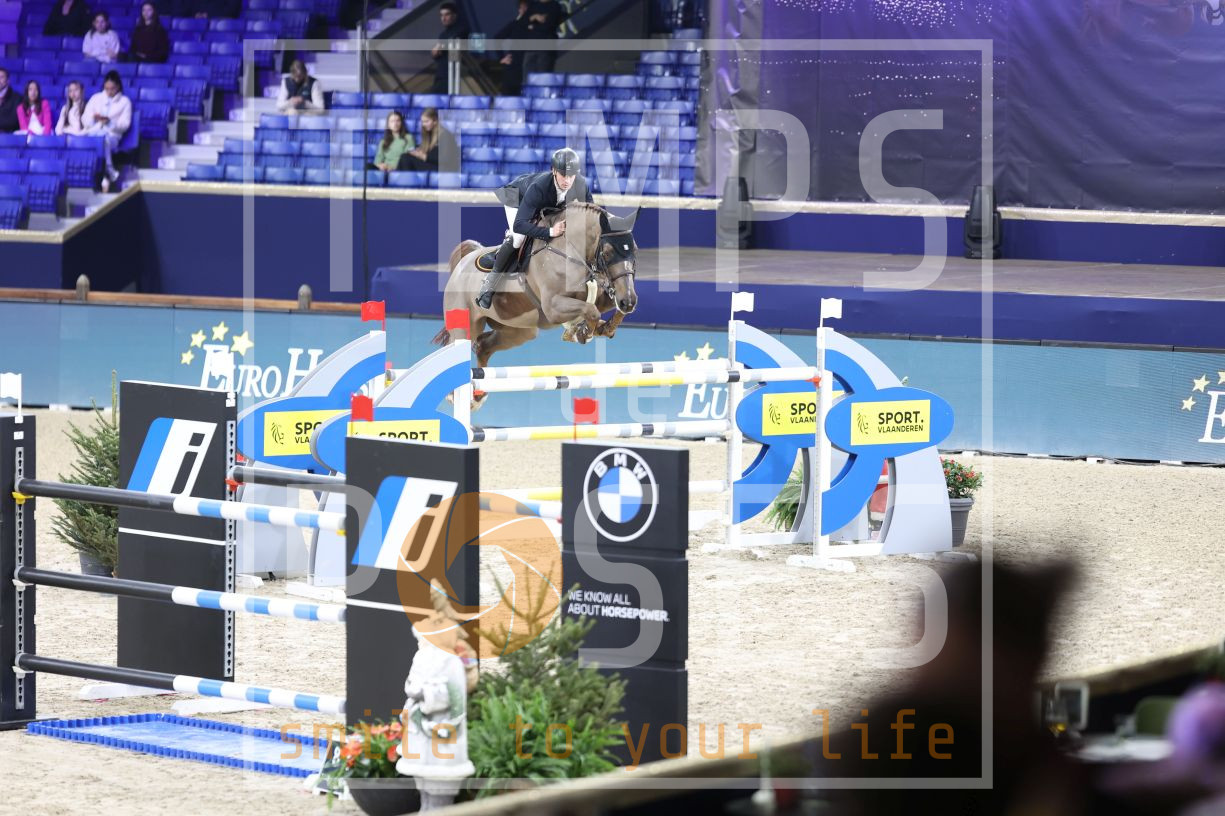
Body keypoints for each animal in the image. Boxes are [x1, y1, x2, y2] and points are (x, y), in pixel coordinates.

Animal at [433, 200, 640, 409]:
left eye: (635, 250)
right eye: (607, 253)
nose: (628, 301)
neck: (570, 251)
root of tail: (462, 264)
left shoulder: (601, 295)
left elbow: (606, 308)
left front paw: (604, 327)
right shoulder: (553, 307)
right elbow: (591, 310)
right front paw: (582, 333)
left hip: (518, 329)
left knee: (484, 346)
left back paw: (477, 396)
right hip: (468, 323)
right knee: (455, 348)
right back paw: (453, 394)